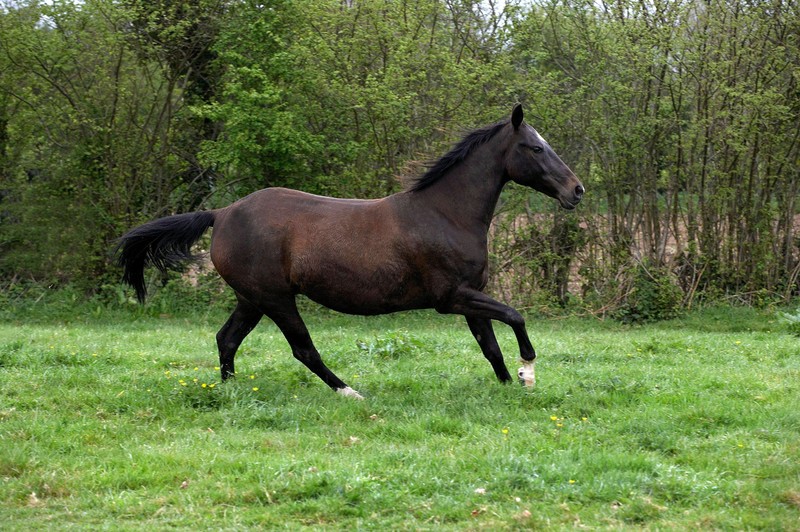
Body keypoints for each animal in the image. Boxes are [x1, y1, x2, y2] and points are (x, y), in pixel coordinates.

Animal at [117, 104, 580, 396]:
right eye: (536, 147)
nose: (576, 191)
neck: (445, 214)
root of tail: (222, 211)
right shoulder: (451, 298)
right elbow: (515, 317)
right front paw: (528, 373)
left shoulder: (469, 295)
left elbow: (490, 345)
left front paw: (510, 384)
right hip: (276, 298)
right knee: (302, 349)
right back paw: (349, 391)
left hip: (252, 298)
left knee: (226, 339)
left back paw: (230, 391)